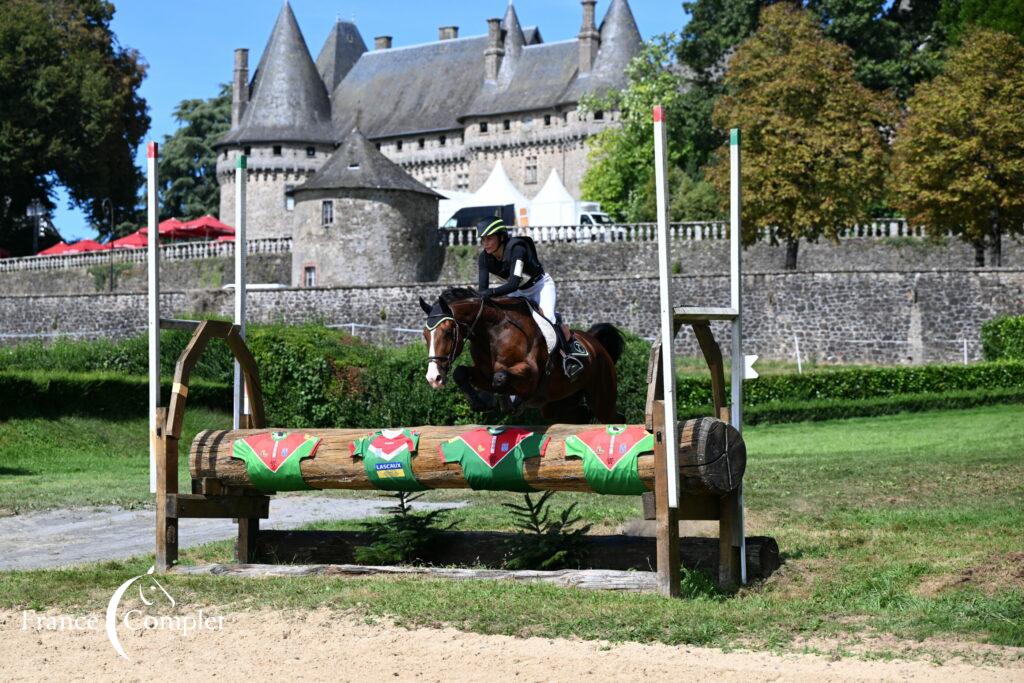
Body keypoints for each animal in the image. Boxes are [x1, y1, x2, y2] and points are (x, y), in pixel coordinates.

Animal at [415, 284, 622, 421]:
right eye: (425, 335)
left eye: (448, 332)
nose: (433, 378)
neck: (492, 331)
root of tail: (594, 341)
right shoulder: (483, 373)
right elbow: (461, 373)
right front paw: (482, 402)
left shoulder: (531, 373)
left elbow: (500, 378)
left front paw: (508, 403)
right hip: (558, 404)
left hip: (602, 398)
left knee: (613, 418)